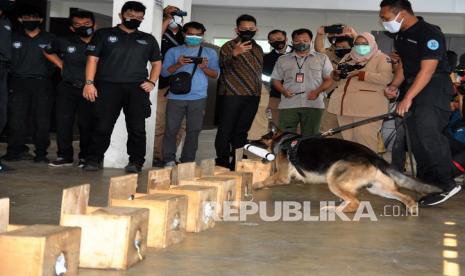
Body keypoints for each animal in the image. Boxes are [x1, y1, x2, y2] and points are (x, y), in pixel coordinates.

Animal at [250, 124, 438, 215]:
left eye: (261, 138)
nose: (249, 140)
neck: (285, 141)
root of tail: (373, 155)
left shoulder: (282, 177)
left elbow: (266, 180)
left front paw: (254, 186)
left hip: (334, 177)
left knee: (355, 203)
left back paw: (335, 210)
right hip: (377, 188)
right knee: (405, 197)